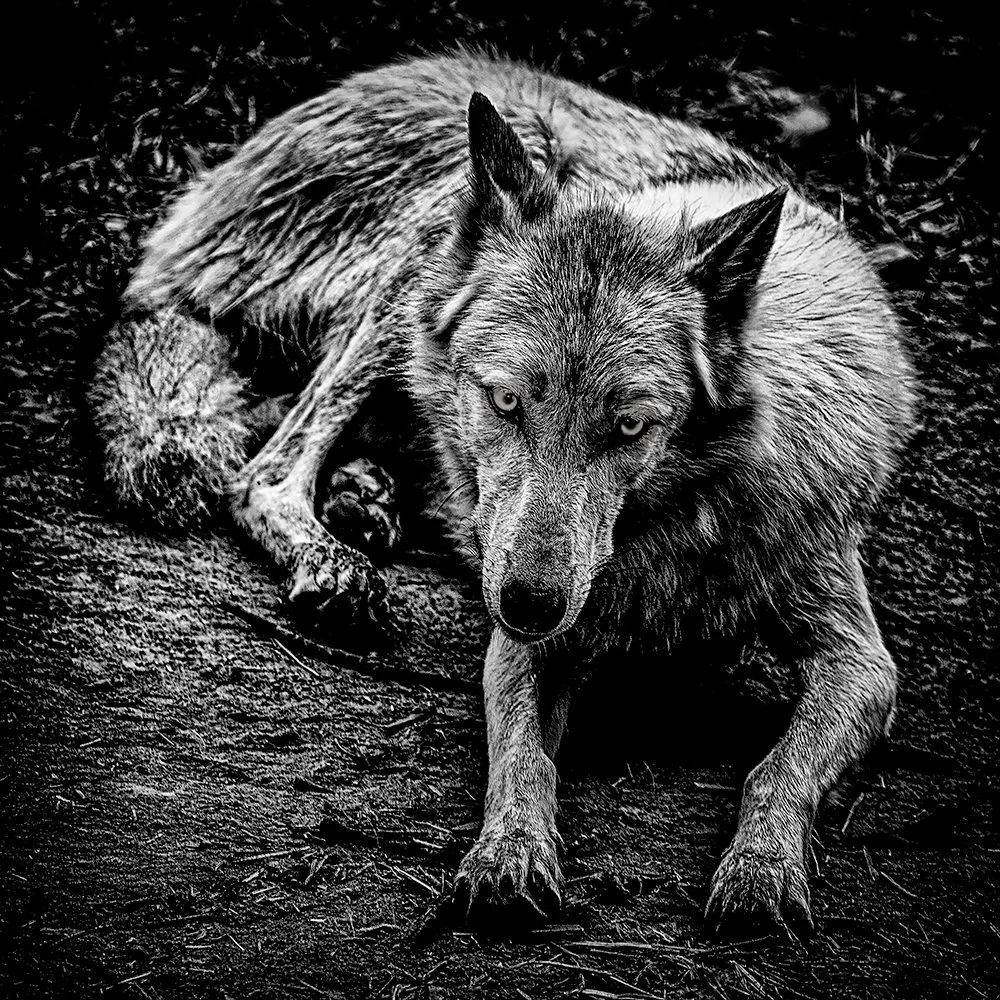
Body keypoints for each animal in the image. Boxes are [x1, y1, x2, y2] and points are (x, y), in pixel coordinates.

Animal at [88, 51, 916, 933]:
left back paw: (365, 498)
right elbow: (522, 761)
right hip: (424, 268)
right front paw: (509, 854)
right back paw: (335, 559)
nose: (528, 601)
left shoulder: (860, 662)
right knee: (264, 470)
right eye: (507, 399)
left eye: (629, 426)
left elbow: (776, 769)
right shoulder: (519, 641)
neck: (669, 537)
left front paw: (760, 871)